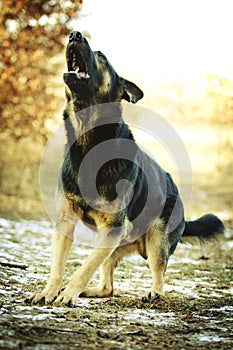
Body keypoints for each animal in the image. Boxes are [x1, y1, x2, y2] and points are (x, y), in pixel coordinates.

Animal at [28, 31, 224, 308]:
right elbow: (58, 267)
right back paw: (92, 291)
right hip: (113, 245)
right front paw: (50, 291)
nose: (75, 34)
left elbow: (83, 268)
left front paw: (68, 294)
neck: (88, 141)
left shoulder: (111, 230)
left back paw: (153, 293)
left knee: (158, 274)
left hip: (155, 242)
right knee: (108, 287)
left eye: (101, 56)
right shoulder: (66, 223)